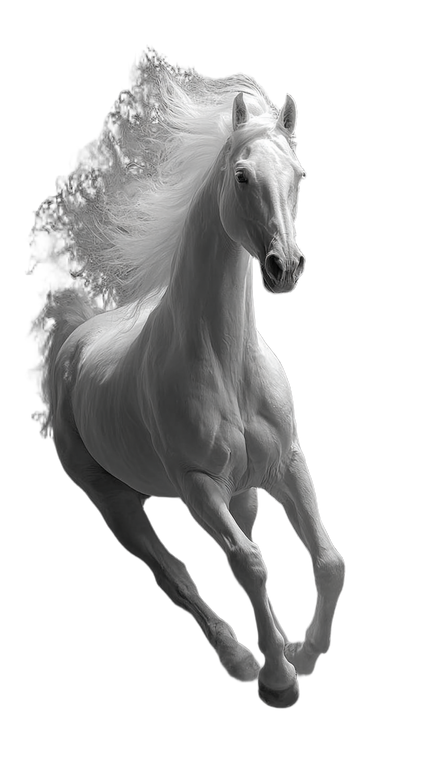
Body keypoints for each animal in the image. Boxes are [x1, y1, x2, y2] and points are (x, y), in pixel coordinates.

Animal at [29, 57, 345, 709]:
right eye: (242, 176)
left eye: (299, 177)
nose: (285, 267)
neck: (225, 362)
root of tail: (74, 343)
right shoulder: (197, 485)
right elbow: (249, 565)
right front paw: (278, 680)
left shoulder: (285, 462)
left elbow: (327, 561)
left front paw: (304, 653)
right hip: (115, 501)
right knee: (173, 574)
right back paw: (240, 659)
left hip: (243, 490)